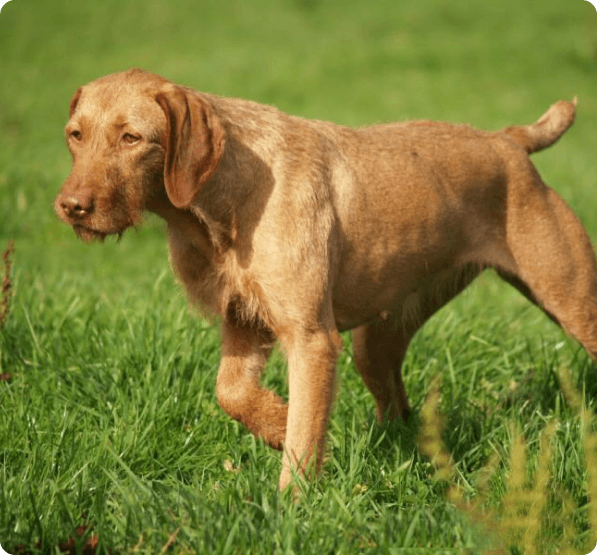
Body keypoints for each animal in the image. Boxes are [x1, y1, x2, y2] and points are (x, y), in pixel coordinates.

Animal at [53, 69, 592, 490]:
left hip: (574, 302)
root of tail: (509, 141)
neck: (228, 198)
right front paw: (274, 422)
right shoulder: (245, 322)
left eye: (131, 138)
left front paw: (290, 505)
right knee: (396, 406)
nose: (71, 206)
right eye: (75, 134)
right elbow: (232, 393)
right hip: (375, 343)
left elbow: (304, 437)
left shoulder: (311, 338)